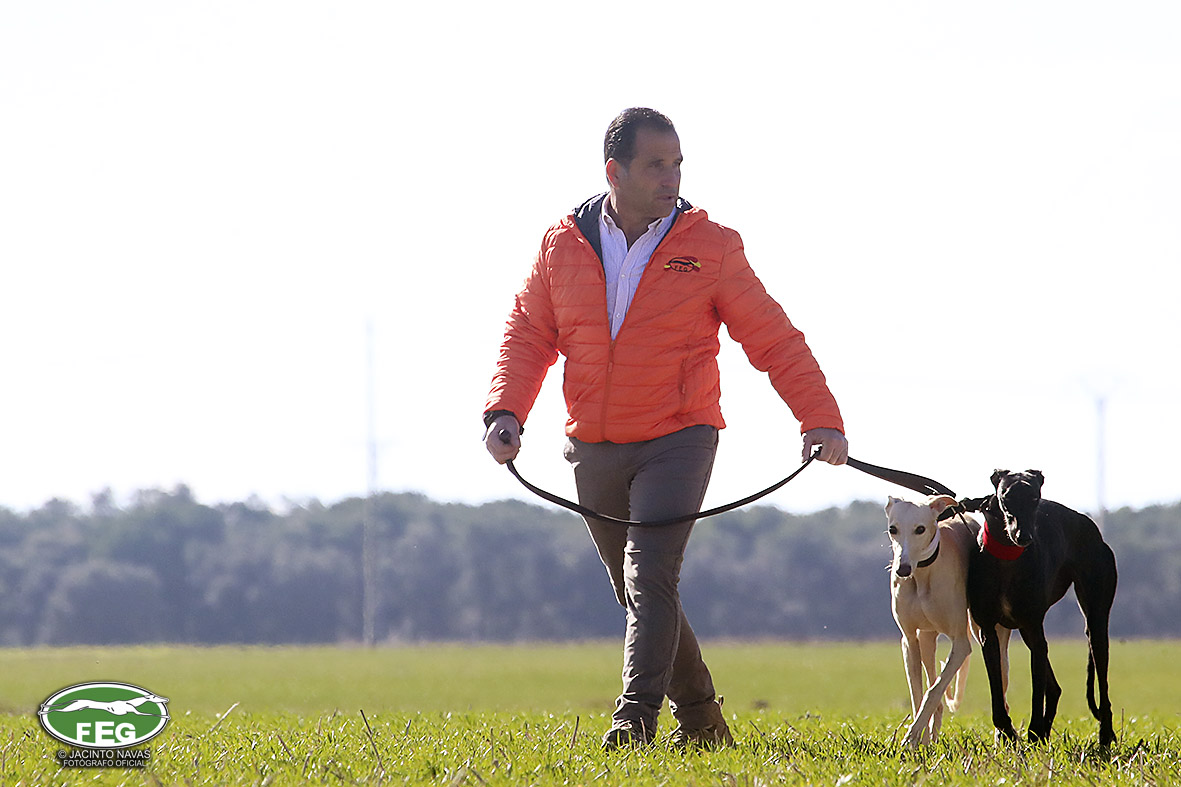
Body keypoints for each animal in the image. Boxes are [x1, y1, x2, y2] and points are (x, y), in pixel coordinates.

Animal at [885, 494, 976, 748]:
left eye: (920, 529)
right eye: (893, 529)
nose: (903, 570)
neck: (922, 574)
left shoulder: (961, 644)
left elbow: (933, 692)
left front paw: (912, 736)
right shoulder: (908, 640)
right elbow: (918, 694)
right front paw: (918, 739)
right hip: (926, 639)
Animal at [965, 469, 1118, 747]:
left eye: (1035, 498)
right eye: (1005, 498)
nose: (1023, 536)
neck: (1008, 556)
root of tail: (1089, 525)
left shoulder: (1034, 629)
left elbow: (1037, 692)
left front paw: (1033, 731)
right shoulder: (988, 632)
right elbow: (997, 696)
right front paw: (1009, 732)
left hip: (1095, 621)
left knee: (1100, 679)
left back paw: (1104, 735)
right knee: (1055, 688)